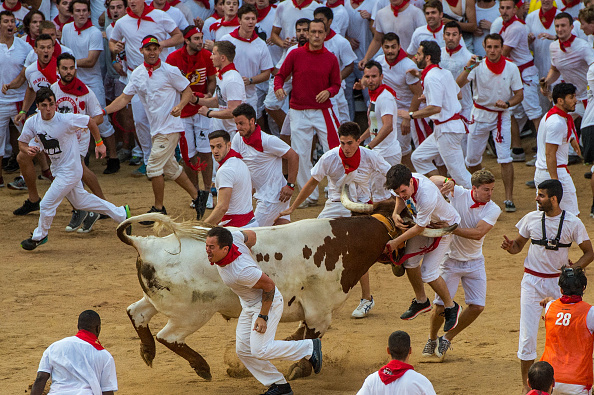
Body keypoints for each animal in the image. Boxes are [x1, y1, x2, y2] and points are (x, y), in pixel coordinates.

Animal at [118, 190, 456, 382]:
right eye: (406, 222)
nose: (400, 265)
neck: (342, 243)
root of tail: (145, 243)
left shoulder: (311, 313)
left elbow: (299, 335)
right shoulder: (320, 312)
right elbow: (311, 338)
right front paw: (303, 368)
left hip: (157, 302)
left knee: (136, 312)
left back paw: (147, 352)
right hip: (191, 314)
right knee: (168, 336)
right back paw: (201, 367)